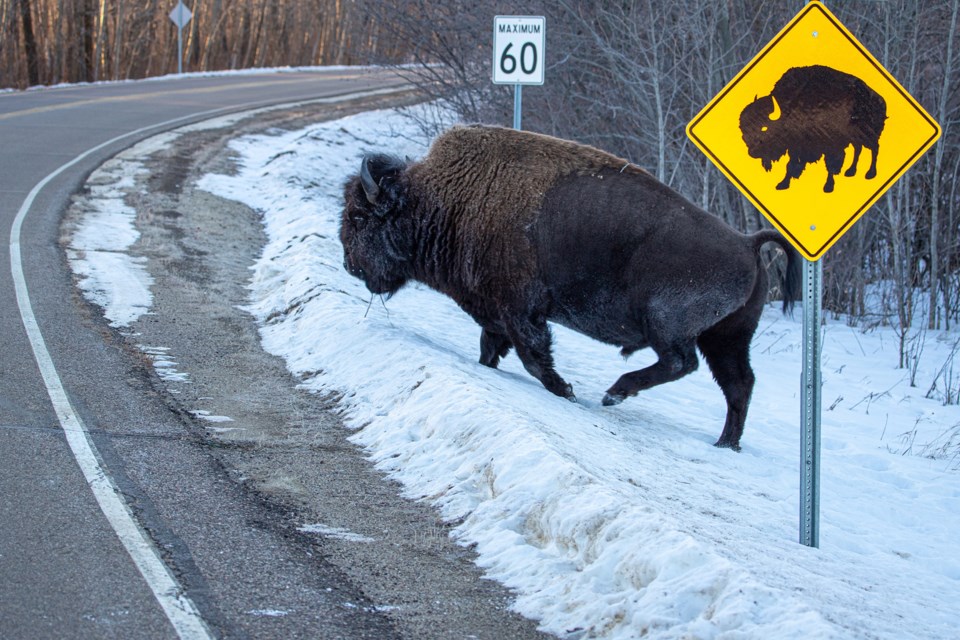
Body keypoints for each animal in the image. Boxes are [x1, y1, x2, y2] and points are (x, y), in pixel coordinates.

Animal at [342, 125, 800, 452]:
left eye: (360, 218)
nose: (349, 264)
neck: (447, 198)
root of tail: (746, 243)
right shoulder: (496, 311)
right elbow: (492, 347)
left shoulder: (520, 309)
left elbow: (532, 354)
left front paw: (565, 391)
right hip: (726, 338)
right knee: (738, 383)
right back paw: (726, 444)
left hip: (669, 325)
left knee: (681, 363)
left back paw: (615, 393)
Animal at [740, 66, 888, 195]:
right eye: (744, 131)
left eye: (764, 127)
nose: (752, 153)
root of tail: (879, 99)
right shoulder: (796, 146)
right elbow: (791, 165)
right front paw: (783, 184)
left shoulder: (831, 145)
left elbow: (831, 165)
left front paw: (828, 186)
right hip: (855, 137)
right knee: (858, 149)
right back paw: (851, 171)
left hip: (868, 135)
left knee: (874, 149)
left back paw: (870, 173)